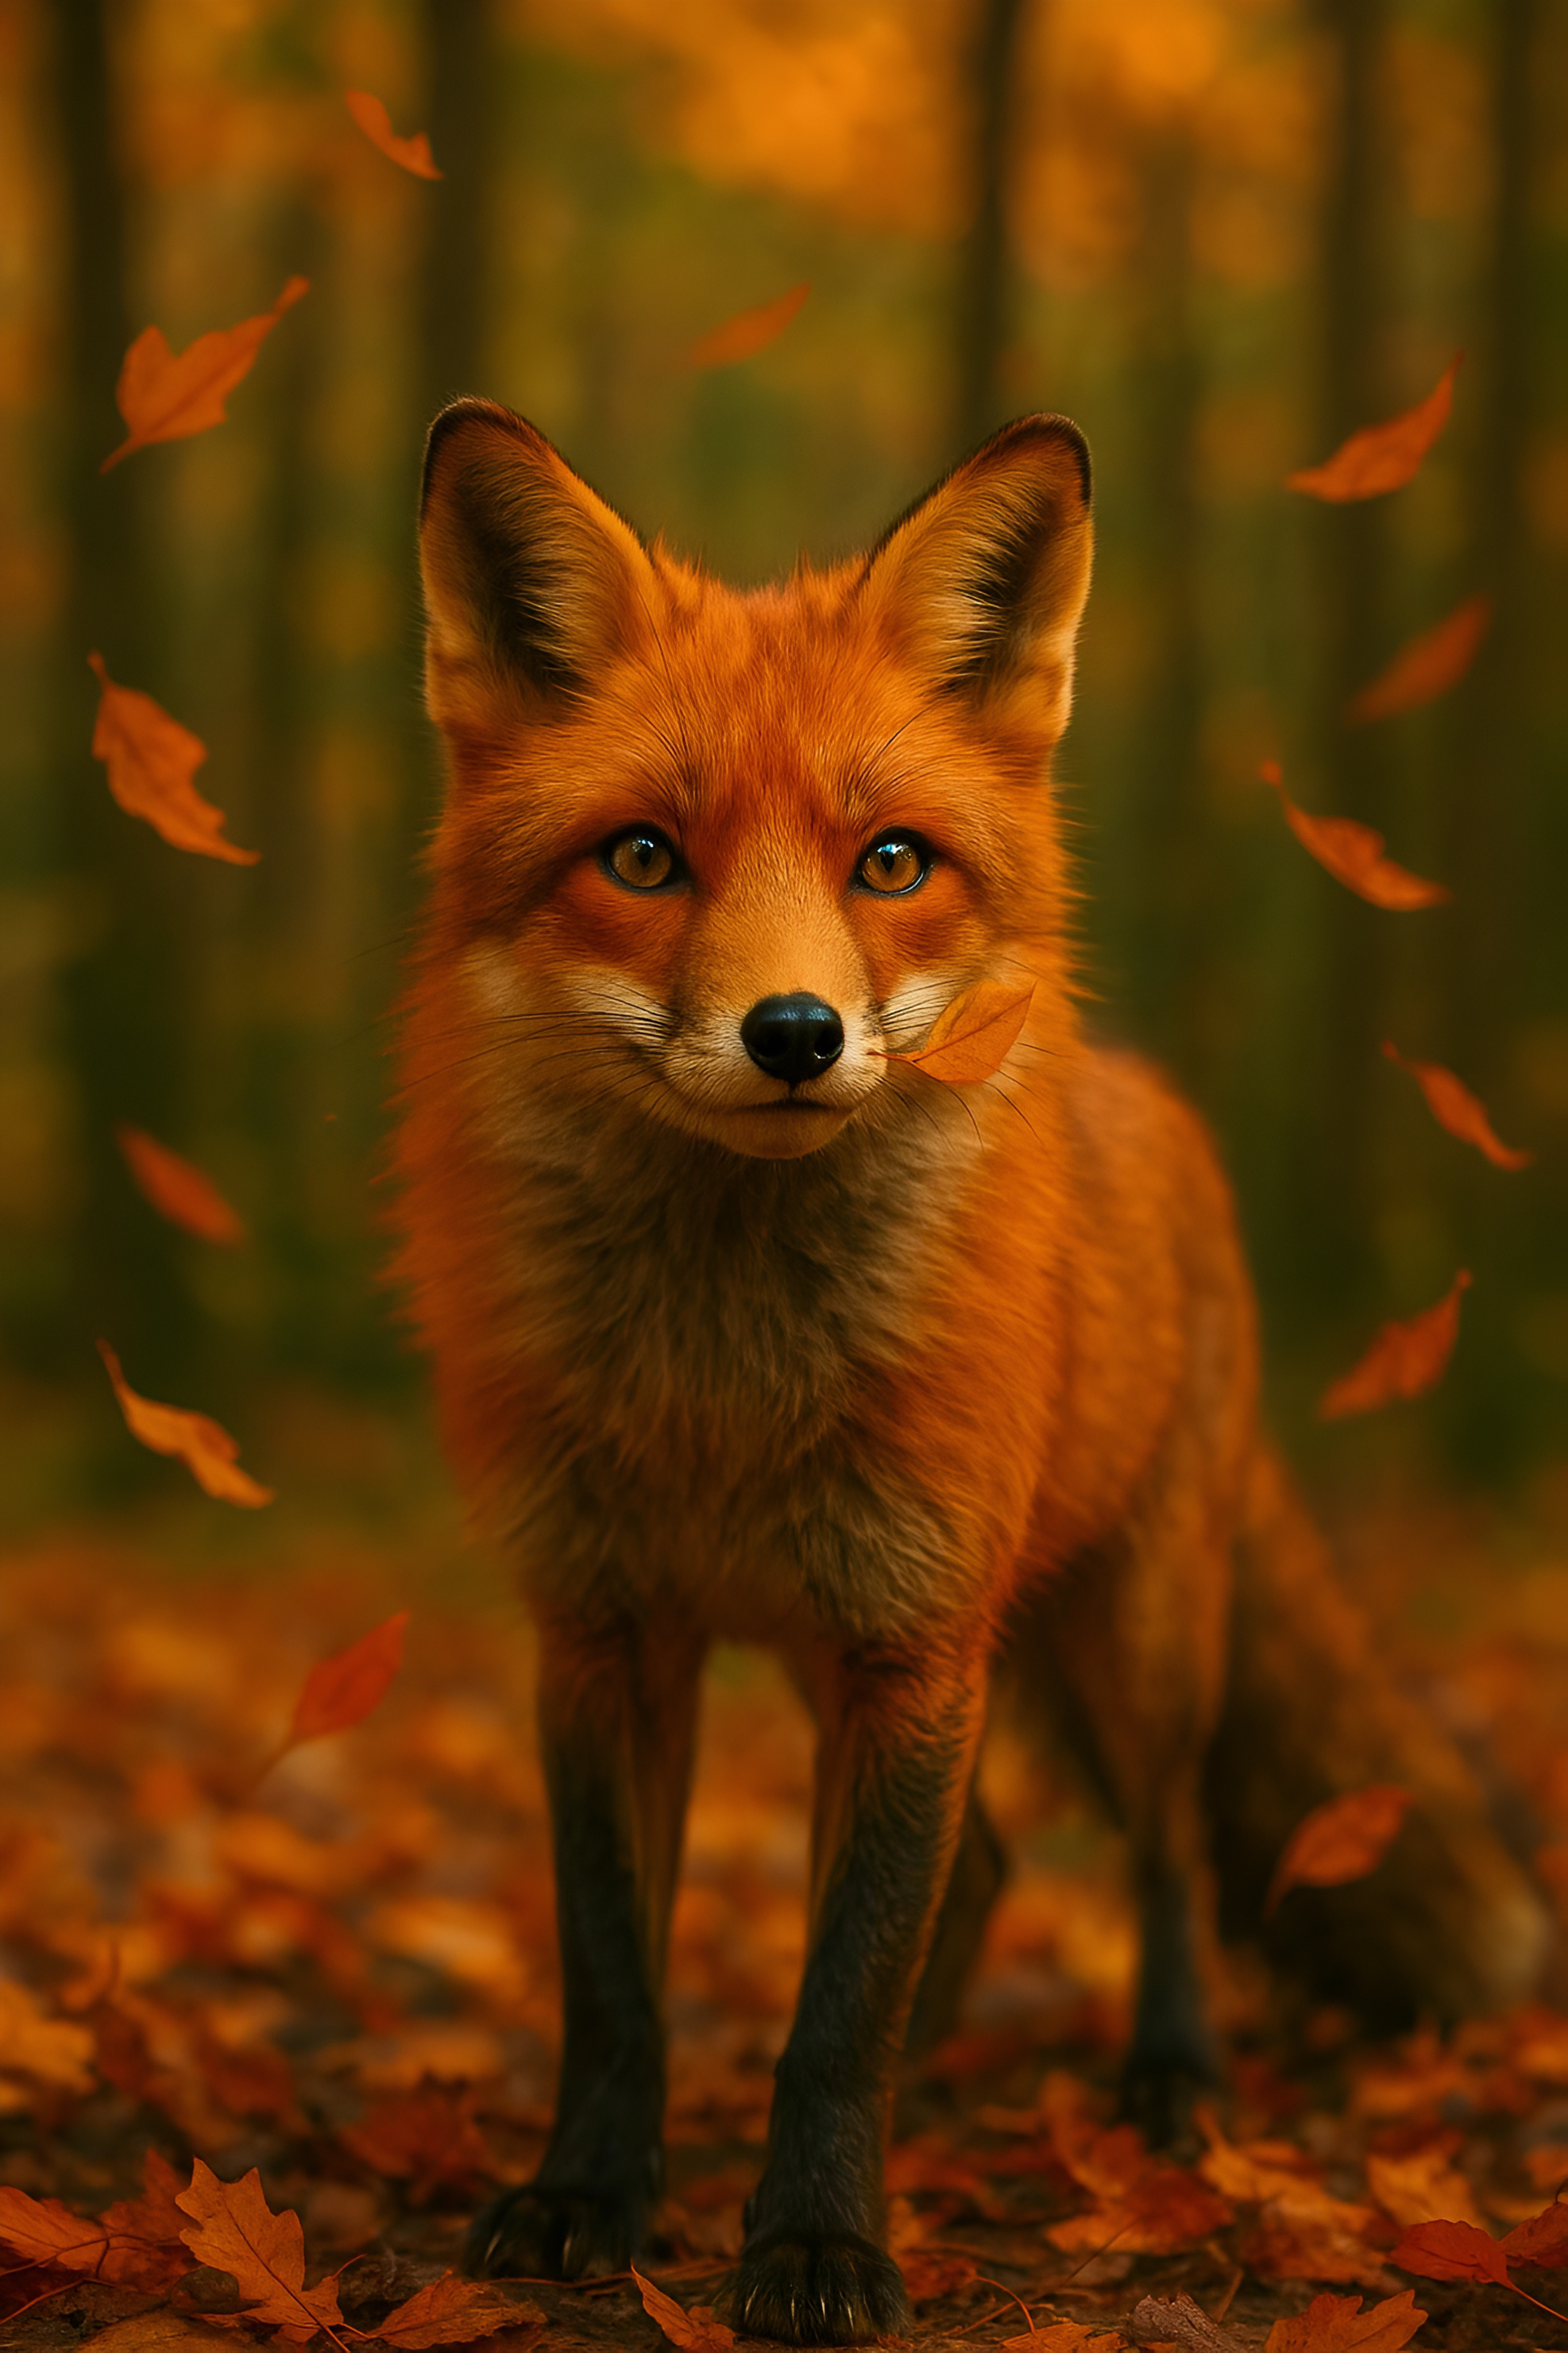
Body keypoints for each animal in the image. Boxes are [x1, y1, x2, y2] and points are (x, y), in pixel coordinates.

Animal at [397, 398, 1549, 2345]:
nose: (795, 1034)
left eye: (890, 862)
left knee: (1160, 1854)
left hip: (1130, 1640)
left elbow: (843, 1995)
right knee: (991, 1874)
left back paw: (1171, 2077)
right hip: (848, 1658)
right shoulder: (604, 1635)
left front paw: (815, 2242)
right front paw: (596, 2198)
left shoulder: (913, 1638)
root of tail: (1146, 1098)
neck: (726, 1378)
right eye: (642, 859)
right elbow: (621, 1972)